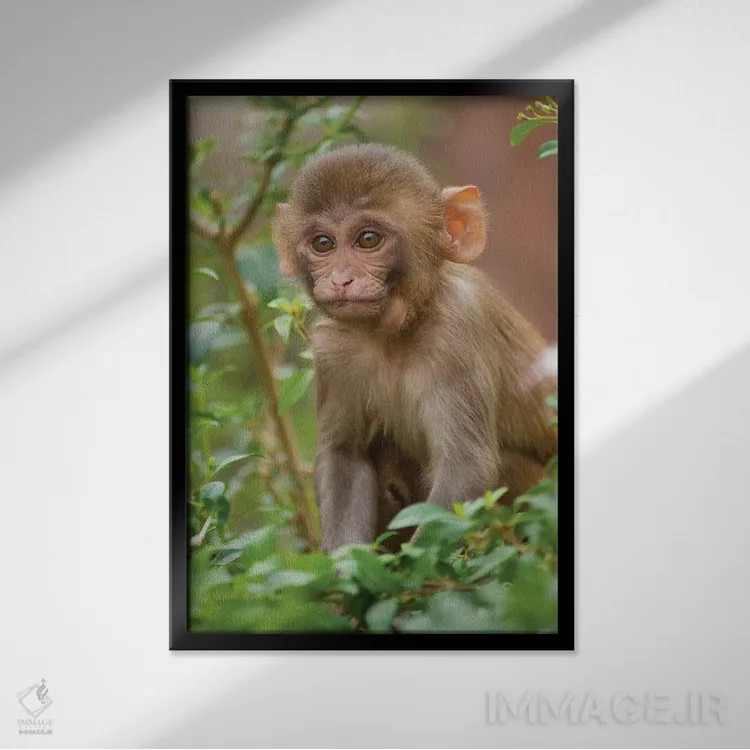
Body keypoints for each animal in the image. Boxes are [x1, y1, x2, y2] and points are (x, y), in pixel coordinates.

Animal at [272, 143, 557, 551]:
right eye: (322, 244)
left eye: (368, 239)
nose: (341, 279)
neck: (394, 334)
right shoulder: (331, 349)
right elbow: (345, 457)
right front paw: (345, 567)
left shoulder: (458, 328)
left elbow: (466, 470)